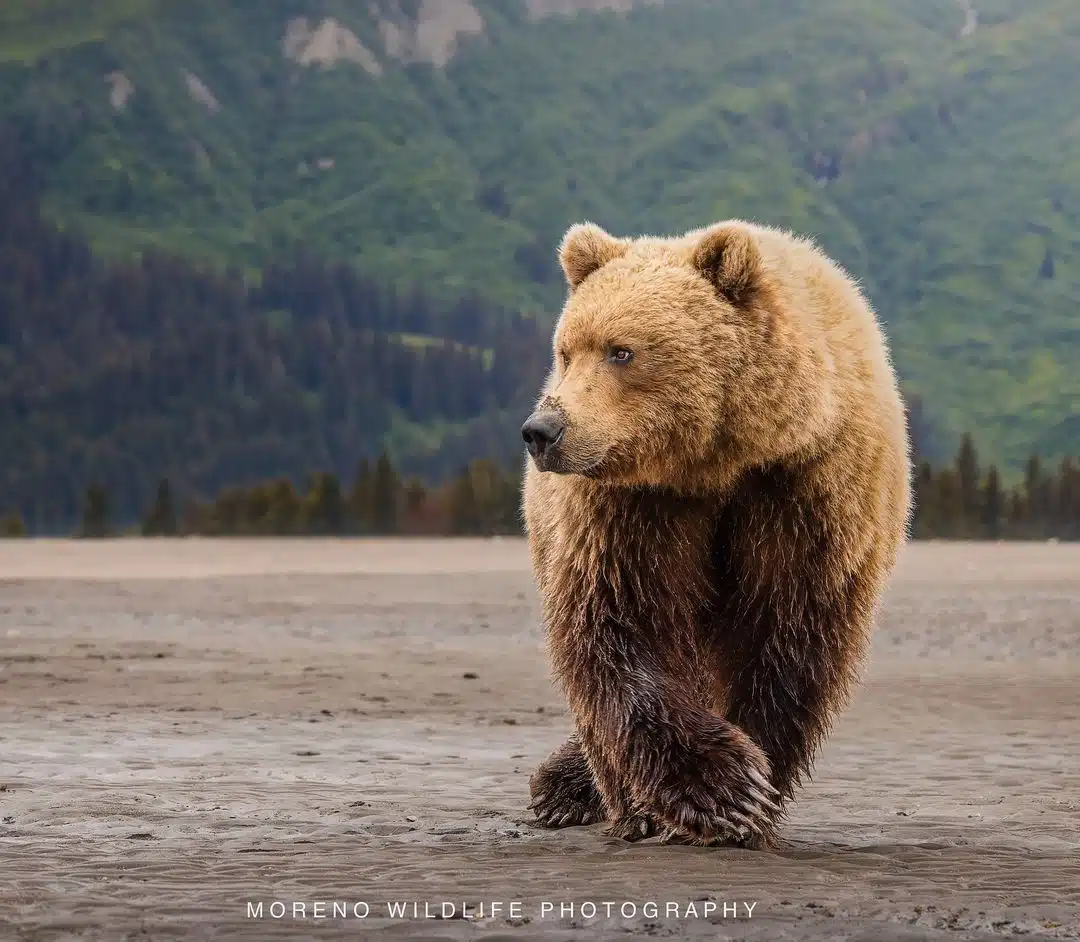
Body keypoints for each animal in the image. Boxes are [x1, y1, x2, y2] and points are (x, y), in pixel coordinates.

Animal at [518, 219, 907, 846]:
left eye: (621, 350)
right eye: (566, 351)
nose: (543, 430)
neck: (718, 459)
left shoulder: (805, 494)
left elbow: (789, 637)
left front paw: (753, 795)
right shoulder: (632, 509)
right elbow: (617, 624)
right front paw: (717, 792)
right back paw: (586, 795)